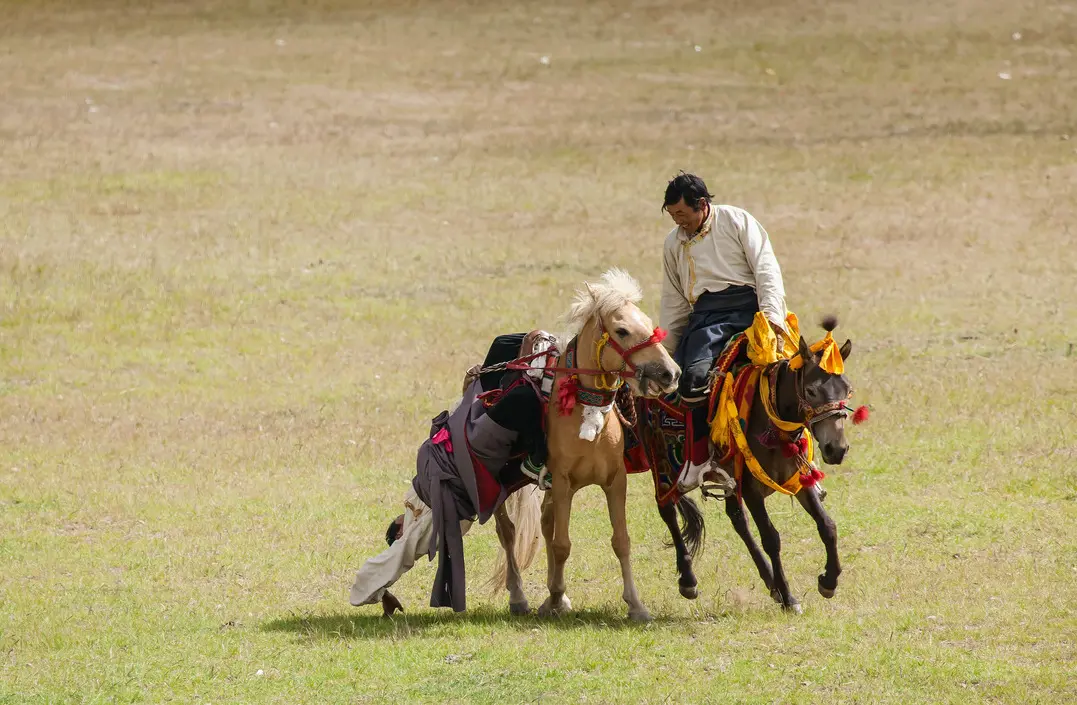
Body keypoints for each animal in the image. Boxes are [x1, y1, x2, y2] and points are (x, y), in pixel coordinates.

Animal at [489, 268, 681, 622]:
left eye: (649, 324)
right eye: (622, 330)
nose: (670, 373)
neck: (587, 413)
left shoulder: (615, 482)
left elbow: (621, 541)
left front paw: (635, 604)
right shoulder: (564, 482)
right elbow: (562, 544)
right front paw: (554, 597)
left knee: (545, 522)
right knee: (507, 530)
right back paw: (519, 596)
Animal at [640, 315, 862, 613]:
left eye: (847, 390)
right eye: (811, 390)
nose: (836, 449)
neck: (772, 424)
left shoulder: (797, 479)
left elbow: (827, 526)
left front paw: (828, 581)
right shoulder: (752, 490)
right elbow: (771, 538)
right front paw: (790, 597)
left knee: (737, 519)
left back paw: (770, 583)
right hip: (663, 467)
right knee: (668, 511)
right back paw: (688, 580)